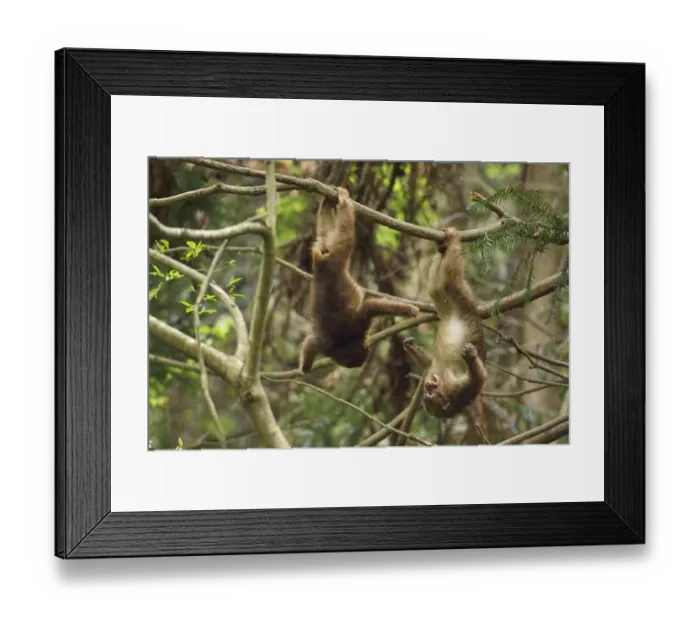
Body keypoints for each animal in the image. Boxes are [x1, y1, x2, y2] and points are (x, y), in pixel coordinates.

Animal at [298, 187, 421, 373]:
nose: (367, 347)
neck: (342, 343)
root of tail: (322, 265)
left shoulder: (328, 341)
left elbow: (310, 342)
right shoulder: (350, 329)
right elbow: (371, 307)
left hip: (329, 252)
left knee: (332, 233)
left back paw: (333, 204)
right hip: (335, 255)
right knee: (343, 235)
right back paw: (341, 204)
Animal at [403, 227, 487, 443]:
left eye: (431, 395)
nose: (429, 384)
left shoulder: (459, 390)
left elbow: (479, 378)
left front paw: (471, 357)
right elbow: (428, 362)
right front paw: (412, 348)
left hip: (462, 301)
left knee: (449, 281)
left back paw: (452, 242)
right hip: (456, 305)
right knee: (436, 287)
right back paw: (444, 245)